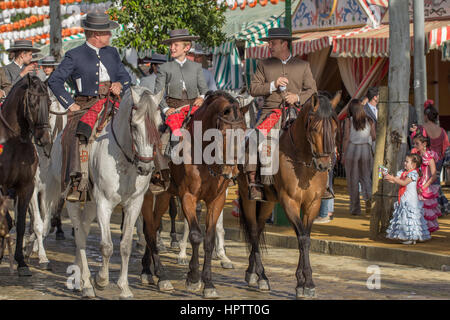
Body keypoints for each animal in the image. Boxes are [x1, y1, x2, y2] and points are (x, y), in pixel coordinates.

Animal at [0, 74, 51, 276]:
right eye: (32, 102)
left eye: (49, 102)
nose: (45, 139)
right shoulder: (3, 187)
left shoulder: (26, 187)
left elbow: (21, 224)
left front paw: (21, 261)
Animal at [141, 91, 246, 298]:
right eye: (223, 134)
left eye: (245, 132)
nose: (232, 171)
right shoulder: (188, 197)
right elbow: (196, 235)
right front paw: (194, 278)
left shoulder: (217, 199)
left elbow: (209, 239)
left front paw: (208, 283)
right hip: (146, 195)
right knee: (148, 230)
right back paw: (160, 276)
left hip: (164, 195)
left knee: (153, 226)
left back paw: (149, 270)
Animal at [239, 92, 338, 298]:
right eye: (314, 128)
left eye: (334, 129)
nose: (324, 165)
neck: (303, 161)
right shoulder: (289, 202)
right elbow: (302, 238)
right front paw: (305, 282)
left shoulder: (313, 204)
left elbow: (305, 238)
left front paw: (304, 282)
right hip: (247, 198)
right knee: (253, 231)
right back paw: (261, 276)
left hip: (268, 202)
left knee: (259, 228)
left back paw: (252, 272)